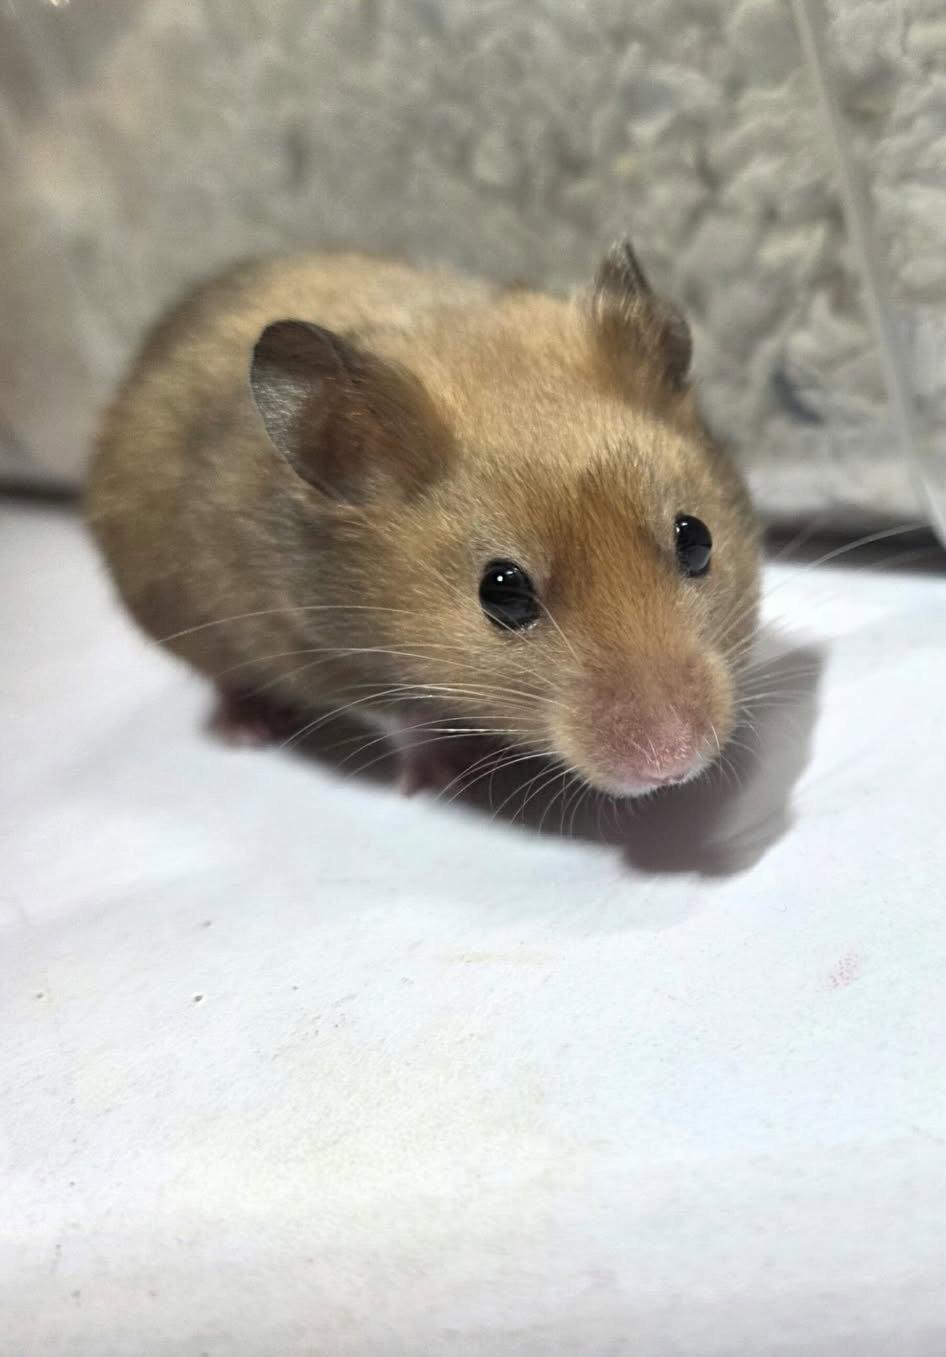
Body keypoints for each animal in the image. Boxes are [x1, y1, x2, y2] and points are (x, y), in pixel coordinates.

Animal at [86, 242, 762, 798]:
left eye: (697, 541)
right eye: (502, 593)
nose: (675, 763)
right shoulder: (323, 652)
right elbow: (405, 718)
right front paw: (445, 779)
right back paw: (248, 730)